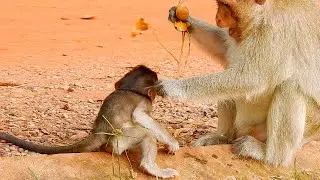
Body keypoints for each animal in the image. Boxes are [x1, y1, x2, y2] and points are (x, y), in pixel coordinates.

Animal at [0, 64, 180, 179]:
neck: (128, 89)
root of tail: (98, 132)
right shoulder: (144, 102)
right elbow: (139, 115)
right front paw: (172, 143)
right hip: (120, 140)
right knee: (145, 134)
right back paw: (151, 167)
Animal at [156, 0, 320, 167]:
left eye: (227, 7)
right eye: (220, 5)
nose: (218, 18)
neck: (261, 17)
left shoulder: (274, 31)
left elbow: (252, 78)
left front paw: (174, 87)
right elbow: (223, 46)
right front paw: (183, 18)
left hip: (302, 127)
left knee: (290, 87)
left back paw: (270, 157)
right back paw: (223, 138)